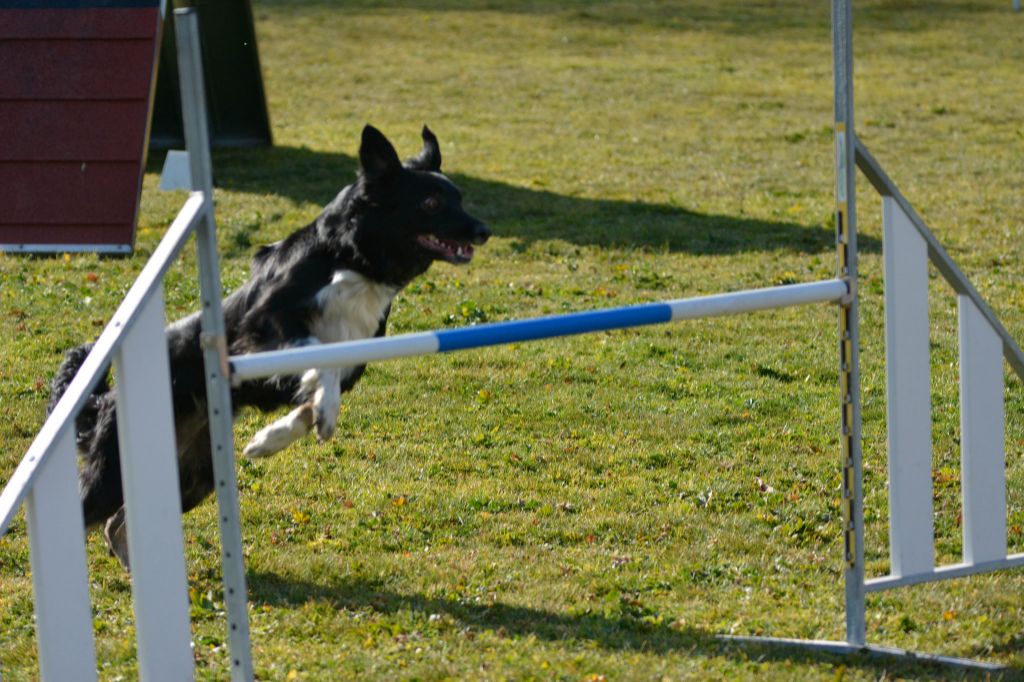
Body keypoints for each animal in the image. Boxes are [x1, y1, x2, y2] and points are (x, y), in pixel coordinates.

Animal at [49, 124, 489, 565]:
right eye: (432, 202)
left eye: (460, 198)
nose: (483, 230)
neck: (353, 259)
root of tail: (103, 400)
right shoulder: (263, 325)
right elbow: (318, 365)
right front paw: (298, 425)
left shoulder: (352, 355)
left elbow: (316, 398)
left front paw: (271, 439)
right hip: (113, 471)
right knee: (88, 515)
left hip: (194, 476)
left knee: (116, 521)